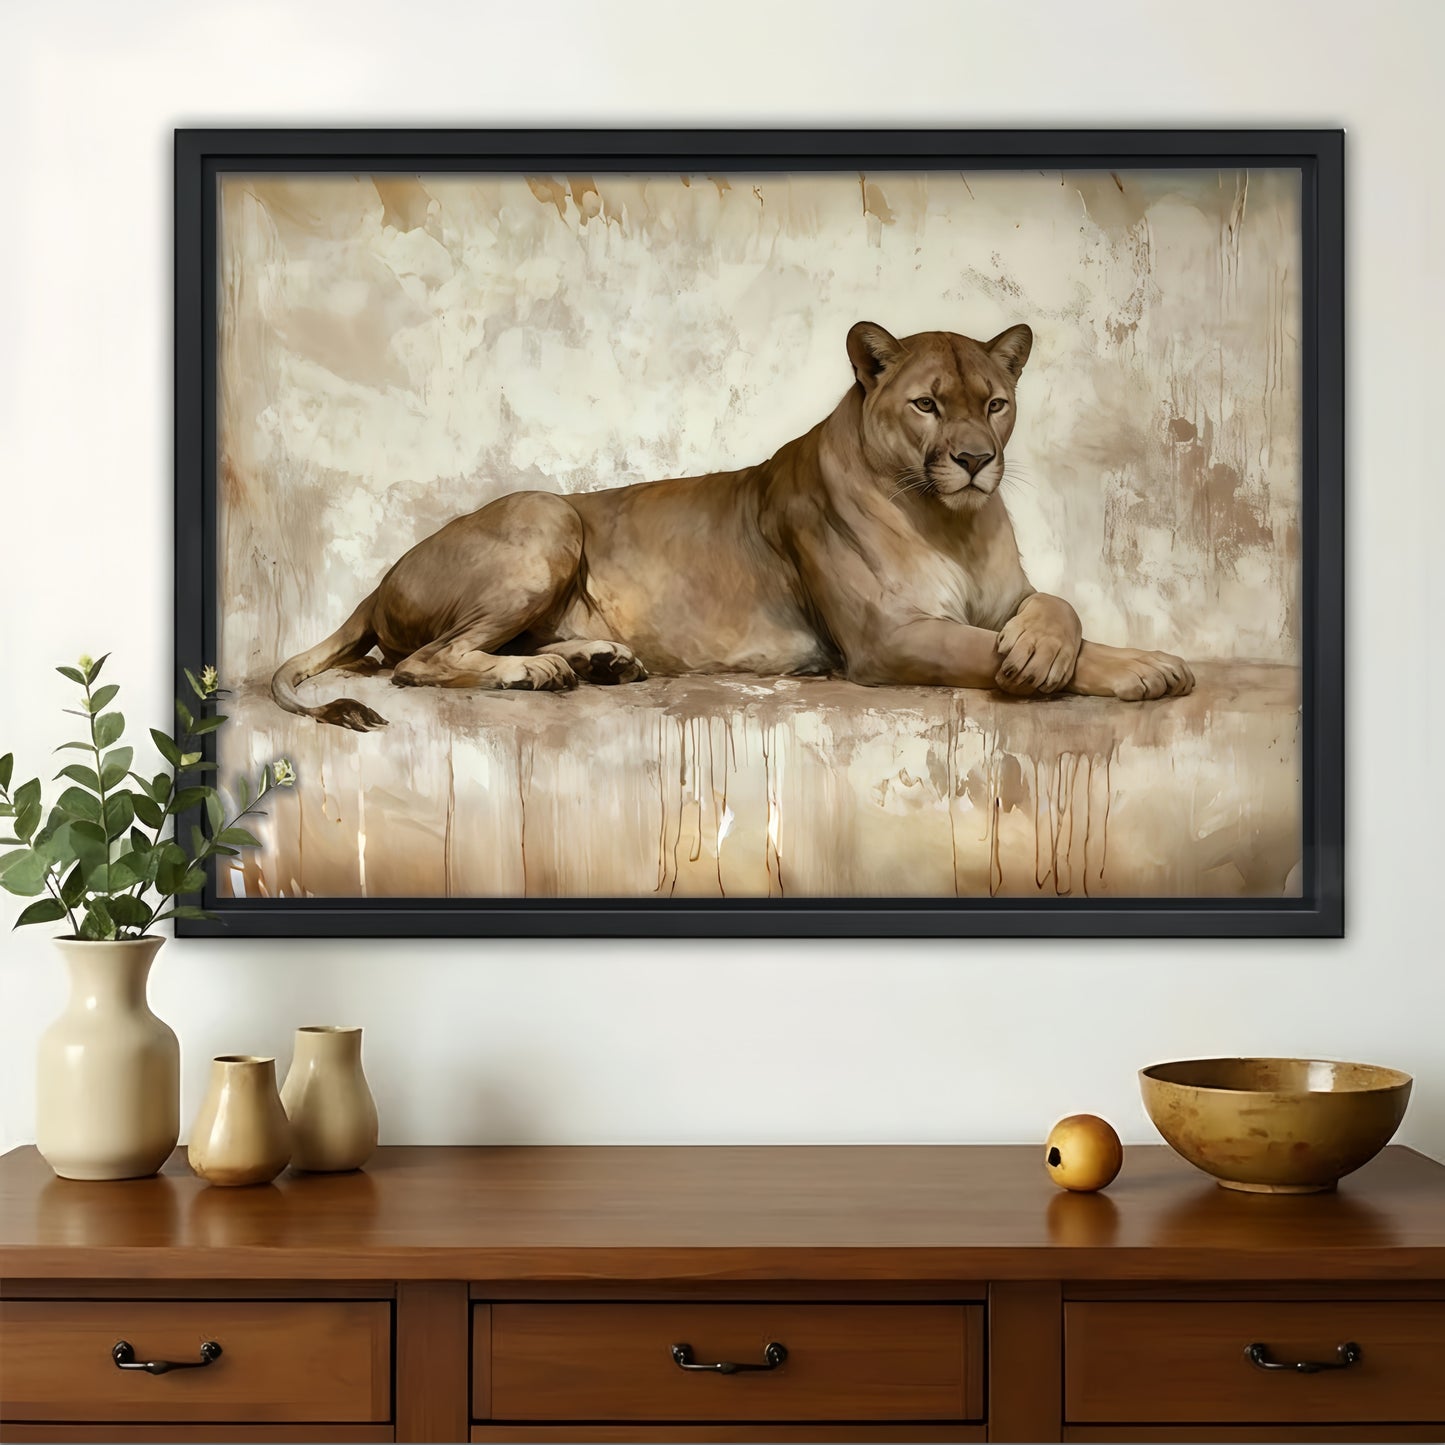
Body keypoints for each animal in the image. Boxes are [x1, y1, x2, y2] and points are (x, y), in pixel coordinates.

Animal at [271, 320, 1194, 730]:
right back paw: (536, 675)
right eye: (927, 404)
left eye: (995, 404)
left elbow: (1058, 607)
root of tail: (376, 584)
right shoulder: (885, 641)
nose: (974, 460)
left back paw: (597, 660)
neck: (951, 521)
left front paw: (1055, 648)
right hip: (546, 516)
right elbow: (1011, 648)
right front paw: (1142, 667)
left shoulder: (1003, 598)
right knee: (420, 664)